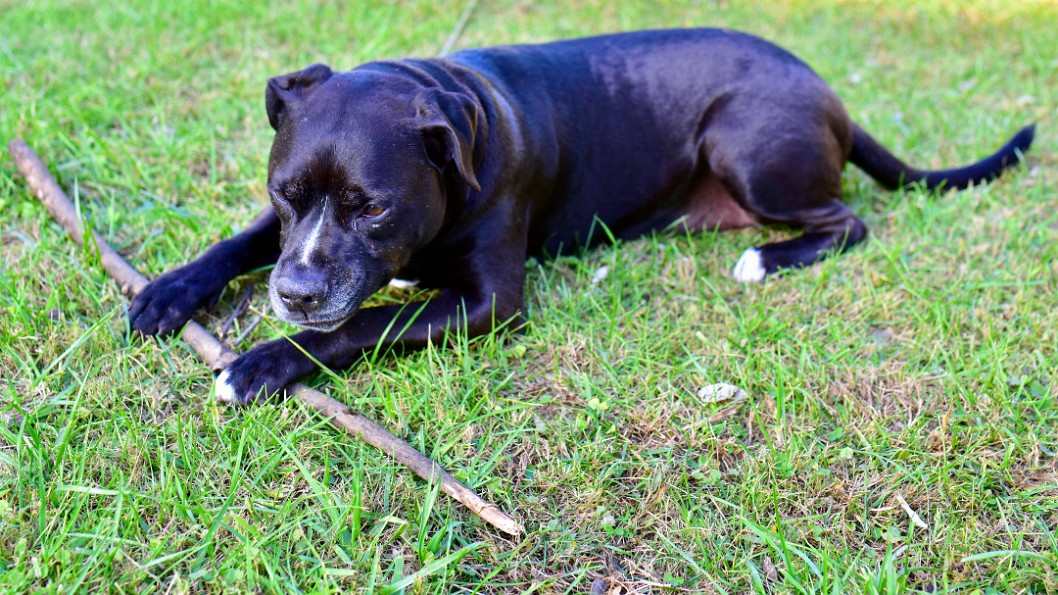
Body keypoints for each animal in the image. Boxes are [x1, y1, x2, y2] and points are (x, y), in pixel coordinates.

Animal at [128, 27, 1036, 402]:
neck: (452, 115)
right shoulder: (283, 230)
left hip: (747, 143)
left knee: (848, 222)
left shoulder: (490, 302)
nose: (294, 294)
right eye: (285, 191)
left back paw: (765, 260)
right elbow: (239, 242)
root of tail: (827, 89)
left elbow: (363, 325)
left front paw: (264, 362)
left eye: (374, 206)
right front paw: (168, 291)